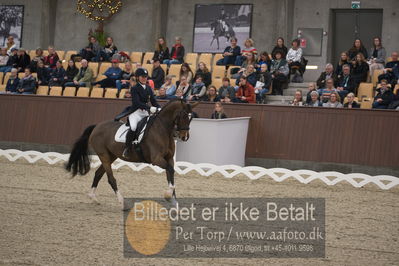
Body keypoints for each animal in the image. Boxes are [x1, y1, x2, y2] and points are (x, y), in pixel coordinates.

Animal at [65, 99, 200, 208]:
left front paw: (174, 202)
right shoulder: (156, 159)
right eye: (182, 115)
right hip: (103, 155)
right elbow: (170, 170)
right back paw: (122, 202)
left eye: (191, 118)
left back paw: (93, 197)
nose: (184, 137)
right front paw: (168, 195)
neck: (163, 130)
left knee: (98, 174)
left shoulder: (169, 158)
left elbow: (170, 174)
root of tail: (97, 126)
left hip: (111, 156)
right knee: (110, 178)